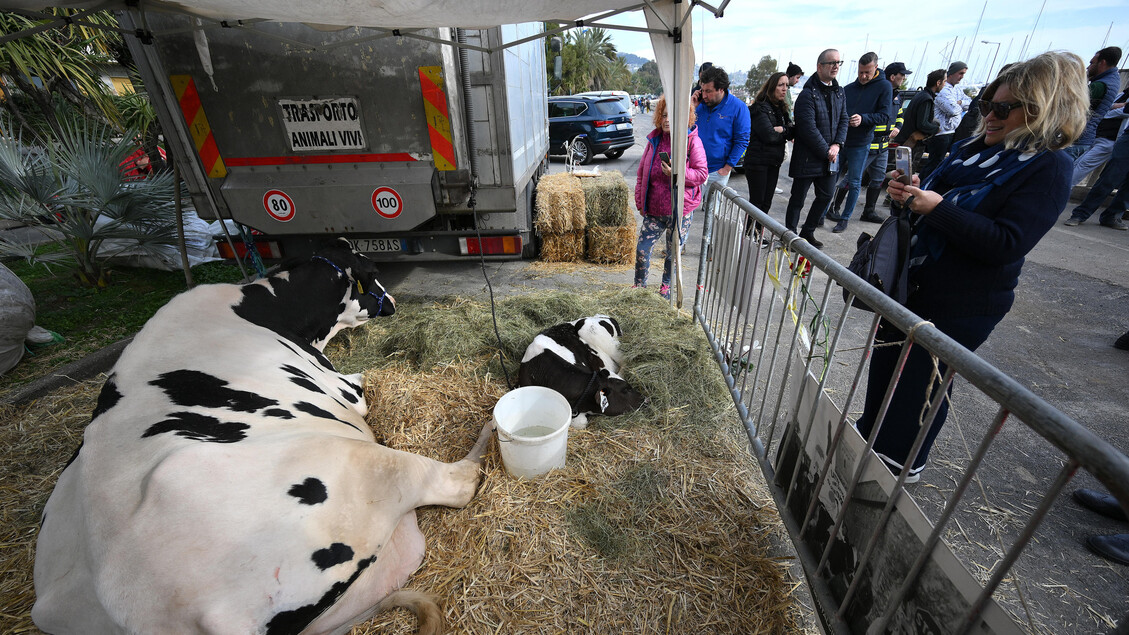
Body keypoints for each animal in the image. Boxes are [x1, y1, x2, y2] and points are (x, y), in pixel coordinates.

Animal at [29, 238, 489, 632]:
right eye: (370, 272)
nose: (391, 302)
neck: (270, 309)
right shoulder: (346, 389)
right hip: (360, 466)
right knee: (453, 481)